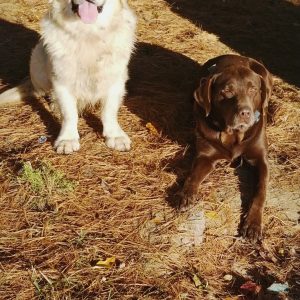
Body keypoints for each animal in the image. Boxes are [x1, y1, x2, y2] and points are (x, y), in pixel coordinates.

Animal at [0, 0, 136, 154]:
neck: (88, 33)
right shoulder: (61, 81)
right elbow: (69, 114)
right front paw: (67, 139)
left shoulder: (115, 80)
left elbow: (109, 111)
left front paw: (115, 135)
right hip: (37, 59)